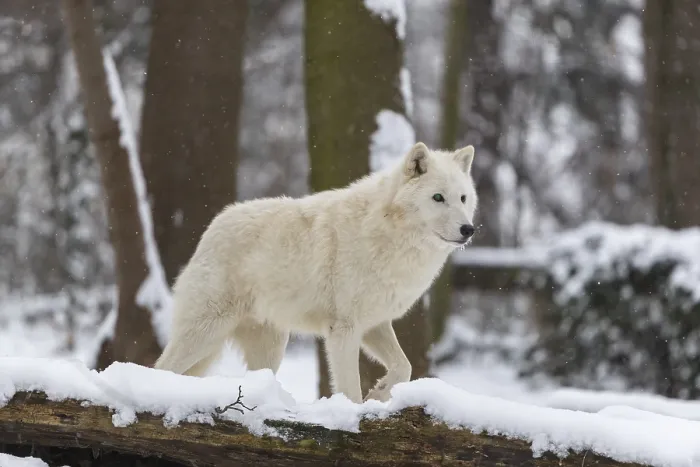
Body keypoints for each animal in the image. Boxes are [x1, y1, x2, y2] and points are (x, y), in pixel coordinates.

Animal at [154, 142, 478, 403]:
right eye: (438, 198)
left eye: (463, 198)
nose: (468, 229)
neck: (390, 235)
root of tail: (212, 227)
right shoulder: (343, 329)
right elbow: (349, 388)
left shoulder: (374, 324)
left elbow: (404, 366)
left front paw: (380, 394)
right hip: (205, 333)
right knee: (160, 368)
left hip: (269, 348)